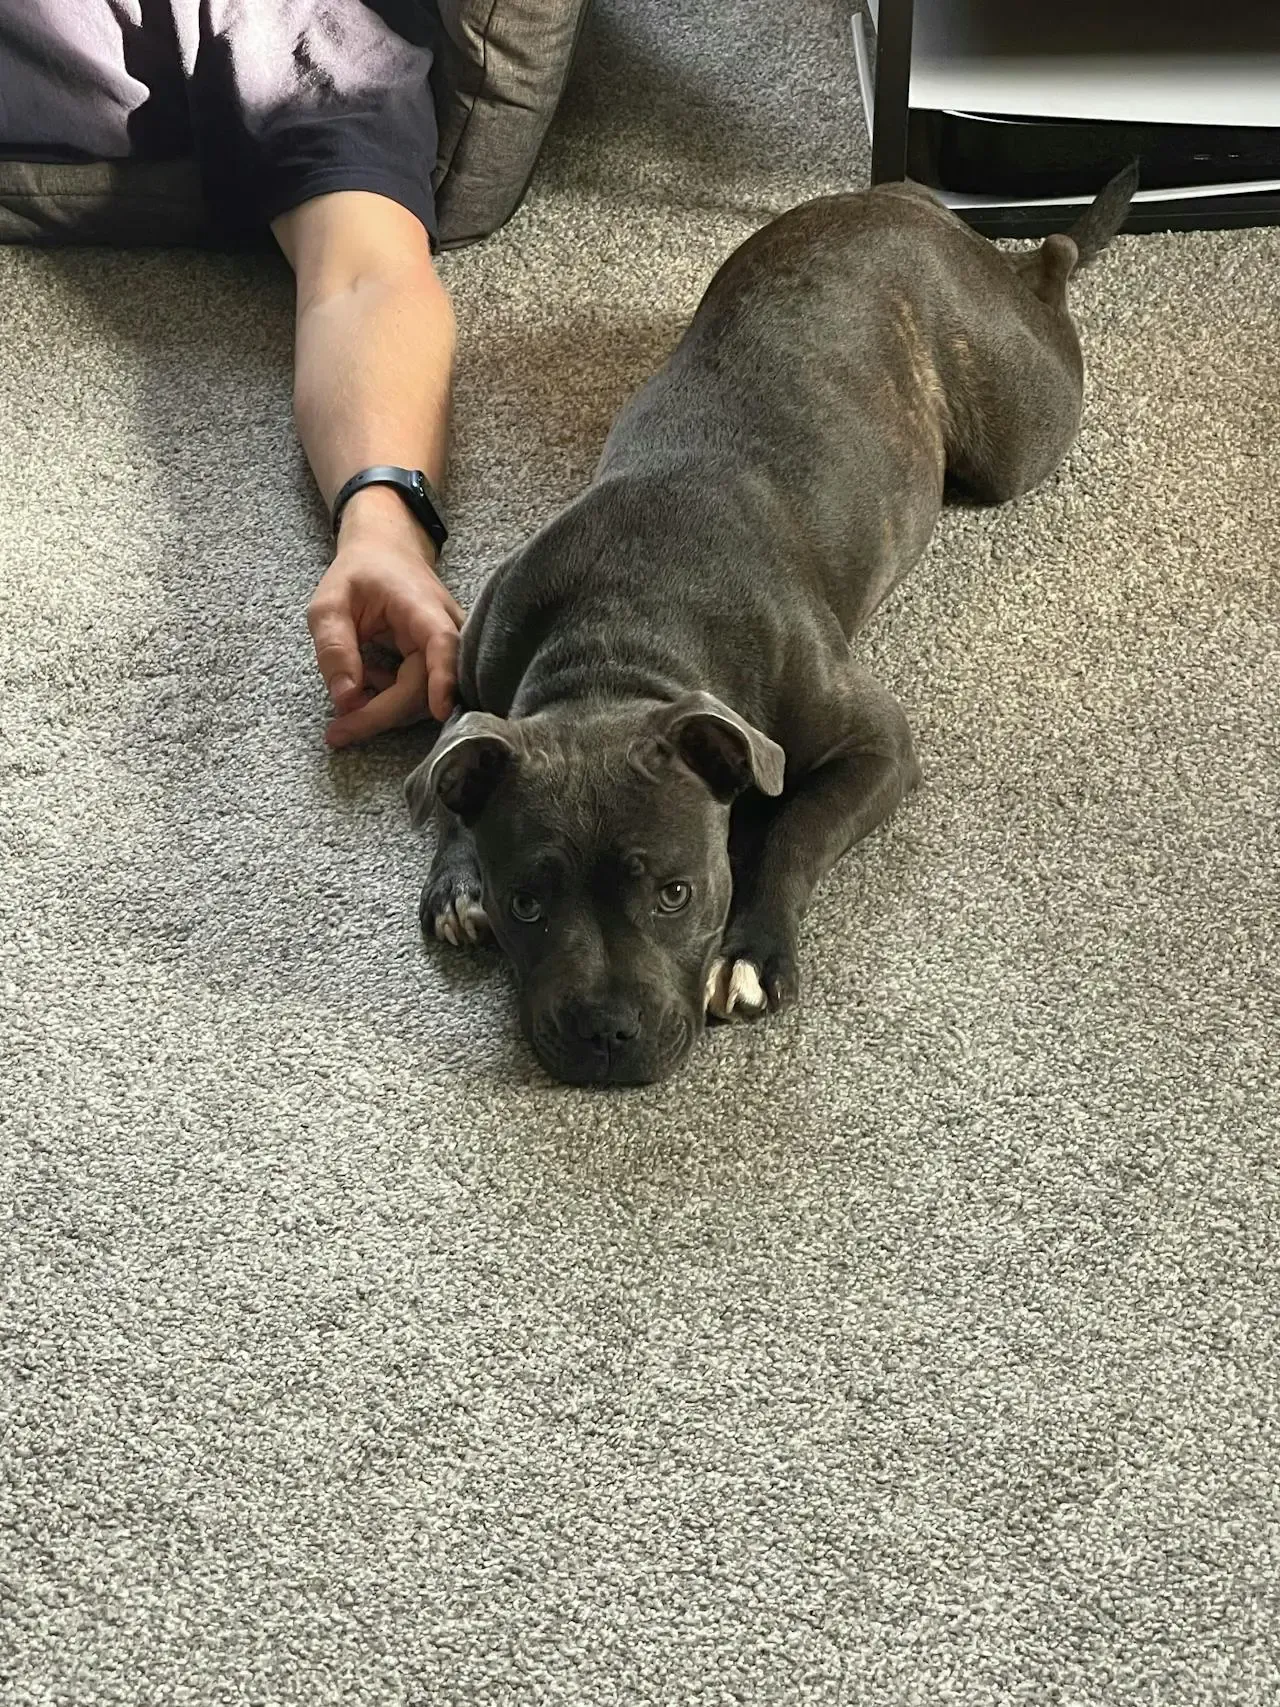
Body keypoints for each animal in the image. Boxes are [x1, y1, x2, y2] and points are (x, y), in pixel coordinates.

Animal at [406, 166, 1140, 1085]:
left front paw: (752, 952)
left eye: (677, 892)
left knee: (1057, 262)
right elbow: (452, 757)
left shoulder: (877, 746)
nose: (606, 1031)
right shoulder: (472, 668)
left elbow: (797, 827)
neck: (617, 642)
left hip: (1021, 422)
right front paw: (457, 877)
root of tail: (906, 203)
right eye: (526, 903)